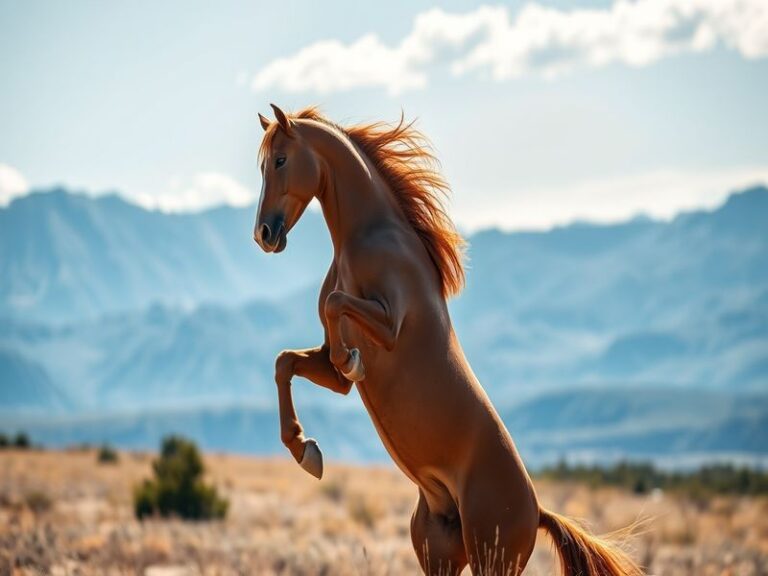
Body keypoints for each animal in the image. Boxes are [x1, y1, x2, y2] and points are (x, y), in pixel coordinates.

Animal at [253, 104, 643, 576]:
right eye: (262, 165)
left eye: (280, 160)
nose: (264, 235)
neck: (370, 239)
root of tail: (537, 511)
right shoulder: (332, 372)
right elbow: (285, 362)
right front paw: (305, 450)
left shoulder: (390, 328)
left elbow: (336, 305)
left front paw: (352, 363)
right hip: (438, 553)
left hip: (492, 558)